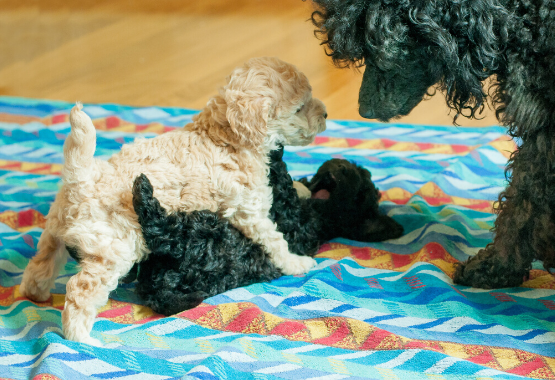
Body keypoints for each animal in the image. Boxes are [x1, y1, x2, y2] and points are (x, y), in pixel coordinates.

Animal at [19, 56, 328, 344]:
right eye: (300, 107)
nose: (326, 113)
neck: (223, 134)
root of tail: (83, 177)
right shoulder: (250, 210)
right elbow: (275, 241)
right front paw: (297, 263)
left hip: (56, 231)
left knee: (41, 264)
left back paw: (34, 294)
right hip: (112, 251)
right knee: (80, 291)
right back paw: (81, 338)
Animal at [132, 148, 402, 314]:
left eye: (360, 195)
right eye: (358, 172)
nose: (340, 164)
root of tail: (158, 291)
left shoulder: (294, 221)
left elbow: (282, 184)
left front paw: (275, 151)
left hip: (201, 233)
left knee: (160, 230)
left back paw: (142, 190)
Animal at [308, 0, 555, 288]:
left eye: (381, 46)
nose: (363, 111)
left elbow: (522, 206)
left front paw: (495, 267)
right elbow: (524, 204)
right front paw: (498, 268)